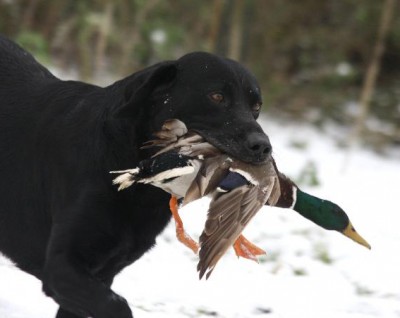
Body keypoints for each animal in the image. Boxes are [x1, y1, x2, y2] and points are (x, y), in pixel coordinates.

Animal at [0, 35, 272, 318]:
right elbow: (117, 305)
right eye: (217, 96)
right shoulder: (61, 267)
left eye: (256, 107)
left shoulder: (99, 275)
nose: (263, 147)